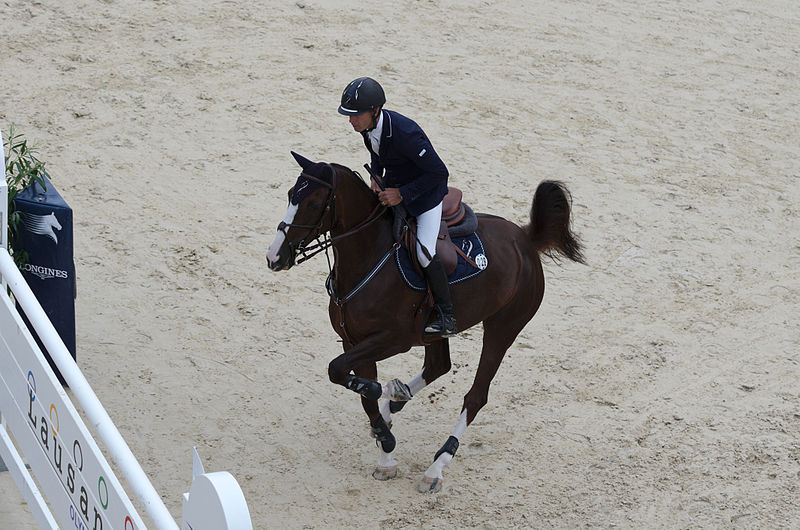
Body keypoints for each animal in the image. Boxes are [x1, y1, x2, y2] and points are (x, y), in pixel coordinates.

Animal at [266, 150, 584, 490]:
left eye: (314, 204)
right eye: (290, 194)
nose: (274, 257)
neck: (367, 256)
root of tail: (523, 239)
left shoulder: (393, 339)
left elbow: (339, 371)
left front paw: (386, 404)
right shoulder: (353, 340)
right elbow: (361, 393)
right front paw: (386, 452)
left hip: (503, 328)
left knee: (475, 396)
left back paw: (436, 465)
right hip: (433, 332)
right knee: (438, 366)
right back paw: (396, 403)